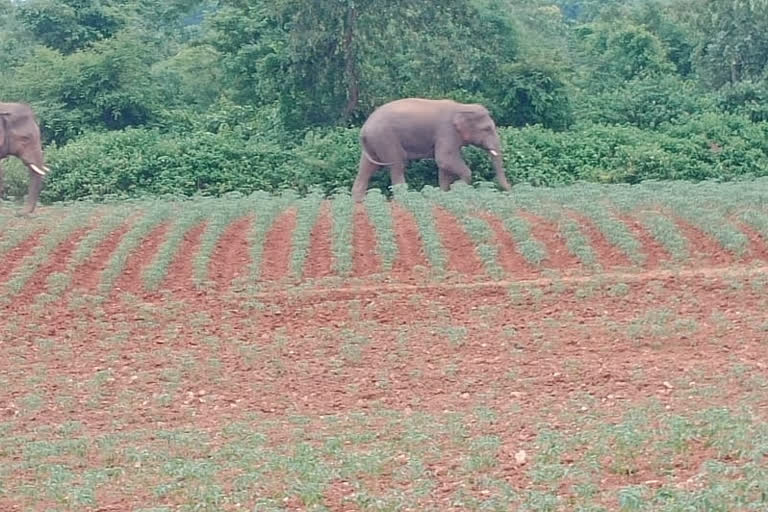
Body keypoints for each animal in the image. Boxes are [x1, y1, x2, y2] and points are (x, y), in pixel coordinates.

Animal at [352, 97, 510, 201]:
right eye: (487, 129)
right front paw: (457, 187)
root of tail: (363, 130)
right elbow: (444, 159)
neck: (462, 107)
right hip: (385, 139)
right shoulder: (446, 131)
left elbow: (444, 167)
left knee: (366, 168)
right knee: (397, 165)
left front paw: (445, 194)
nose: (509, 190)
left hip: (373, 144)